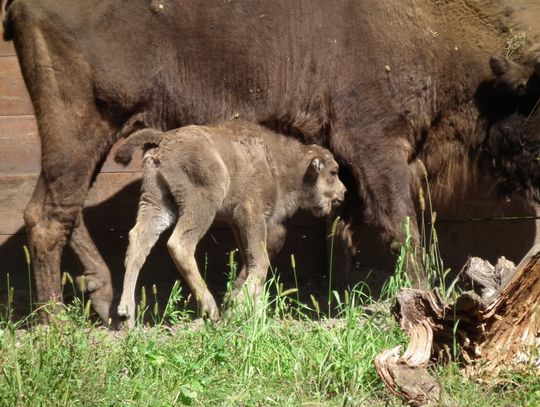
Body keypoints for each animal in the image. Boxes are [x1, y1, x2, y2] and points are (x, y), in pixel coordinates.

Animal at [114, 119, 346, 326]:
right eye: (333, 172)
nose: (343, 193)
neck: (281, 164)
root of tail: (164, 138)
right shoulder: (252, 215)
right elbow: (260, 262)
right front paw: (239, 308)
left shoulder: (238, 224)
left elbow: (251, 261)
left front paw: (251, 311)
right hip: (202, 205)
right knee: (179, 244)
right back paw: (211, 309)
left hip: (156, 203)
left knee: (139, 241)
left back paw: (127, 315)